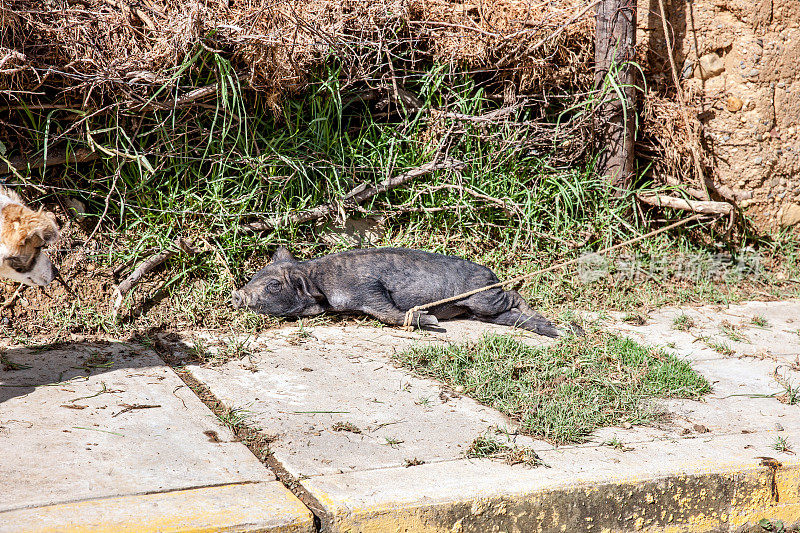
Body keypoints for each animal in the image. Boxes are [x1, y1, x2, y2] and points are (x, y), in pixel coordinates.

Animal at [231, 246, 564, 336]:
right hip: (482, 311)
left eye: (274, 286)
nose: (237, 294)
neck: (319, 282)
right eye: (256, 275)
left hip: (484, 297)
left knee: (513, 296)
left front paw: (431, 320)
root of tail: (492, 275)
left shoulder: (368, 288)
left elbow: (387, 313)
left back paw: (564, 332)